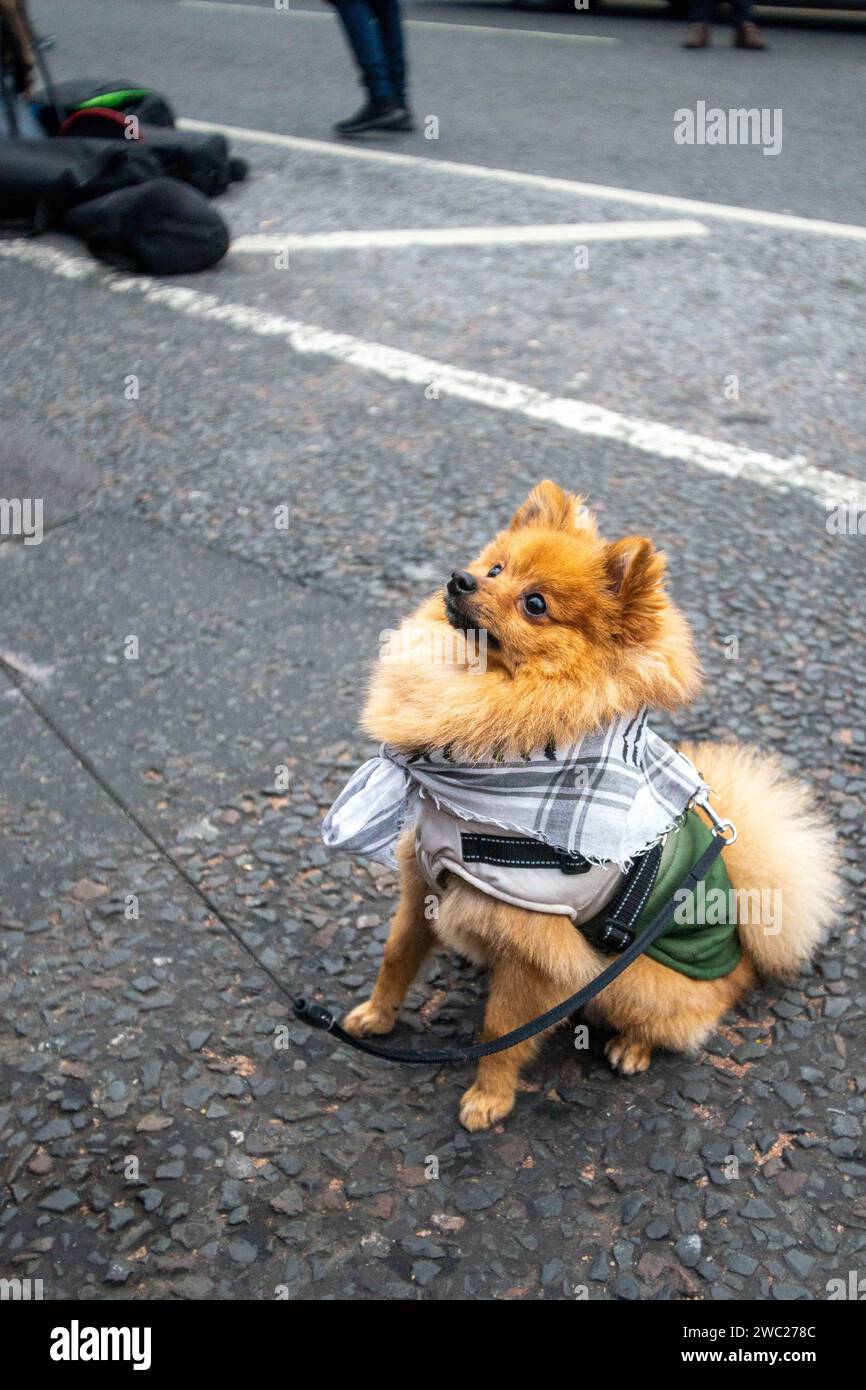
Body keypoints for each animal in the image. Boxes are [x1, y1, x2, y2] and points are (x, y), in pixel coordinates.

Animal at [337, 478, 839, 1128]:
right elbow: (397, 957)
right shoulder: (423, 879)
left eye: (535, 604)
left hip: (629, 981)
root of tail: (744, 956)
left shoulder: (536, 947)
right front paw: (376, 1016)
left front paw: (489, 1097)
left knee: (676, 1022)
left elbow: (502, 1029)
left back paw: (633, 1047)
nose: (461, 579)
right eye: (495, 568)